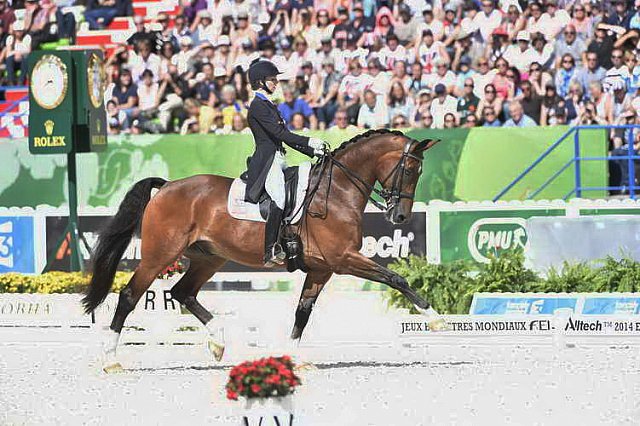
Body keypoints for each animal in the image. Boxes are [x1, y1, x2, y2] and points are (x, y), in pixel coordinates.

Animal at [82, 128, 442, 372]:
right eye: (411, 170)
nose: (399, 217)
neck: (338, 191)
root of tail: (168, 186)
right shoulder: (343, 259)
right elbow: (396, 278)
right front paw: (434, 318)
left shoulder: (321, 268)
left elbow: (303, 312)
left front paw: (294, 357)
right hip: (161, 255)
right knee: (130, 295)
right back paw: (111, 360)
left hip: (209, 257)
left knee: (183, 292)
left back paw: (218, 342)